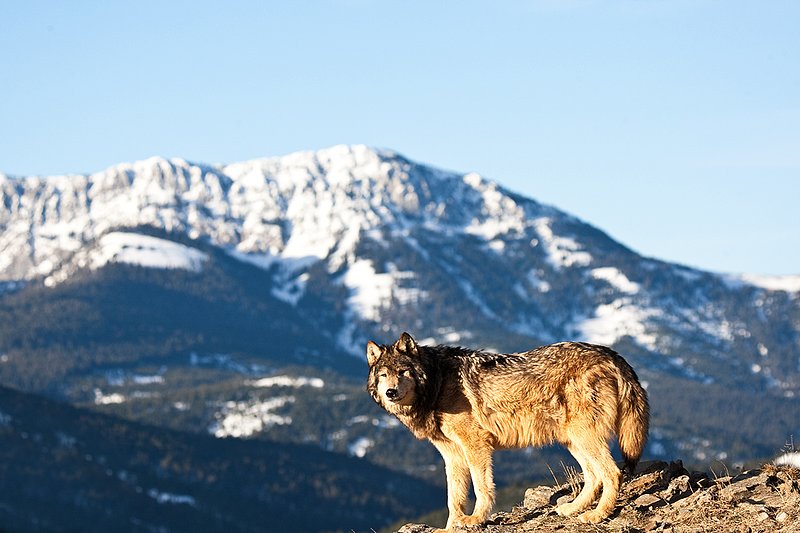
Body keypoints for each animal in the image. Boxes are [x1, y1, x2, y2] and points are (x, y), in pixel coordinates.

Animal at [366, 332, 649, 530]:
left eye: (403, 371)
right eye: (383, 375)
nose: (390, 392)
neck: (437, 383)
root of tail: (610, 354)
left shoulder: (475, 445)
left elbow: (481, 487)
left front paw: (476, 519)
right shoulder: (452, 455)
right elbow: (453, 497)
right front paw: (451, 528)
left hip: (584, 438)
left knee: (612, 473)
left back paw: (598, 515)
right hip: (573, 441)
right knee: (594, 476)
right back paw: (573, 509)